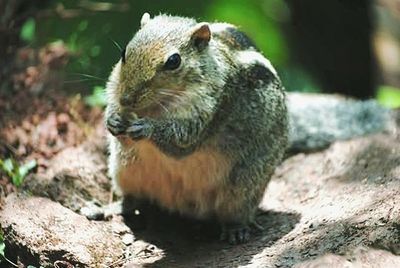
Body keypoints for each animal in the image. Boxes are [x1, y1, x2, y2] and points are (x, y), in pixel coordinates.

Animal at [103, 13, 394, 245]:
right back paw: (113, 207)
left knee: (235, 211)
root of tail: (182, 207)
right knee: (134, 199)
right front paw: (113, 120)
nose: (127, 99)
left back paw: (236, 229)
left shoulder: (211, 110)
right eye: (124, 52)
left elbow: (182, 141)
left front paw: (147, 128)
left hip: (243, 185)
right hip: (126, 169)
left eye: (174, 61)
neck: (157, 107)